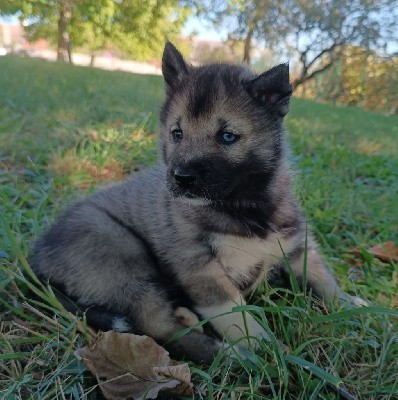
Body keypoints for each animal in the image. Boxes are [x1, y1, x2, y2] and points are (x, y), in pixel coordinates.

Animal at [31, 42, 352, 364]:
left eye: (227, 136)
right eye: (177, 133)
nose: (182, 177)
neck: (244, 206)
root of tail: (37, 262)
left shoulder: (298, 249)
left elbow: (326, 284)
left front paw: (357, 310)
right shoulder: (200, 268)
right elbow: (238, 315)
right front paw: (267, 350)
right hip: (119, 252)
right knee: (158, 328)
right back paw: (232, 355)